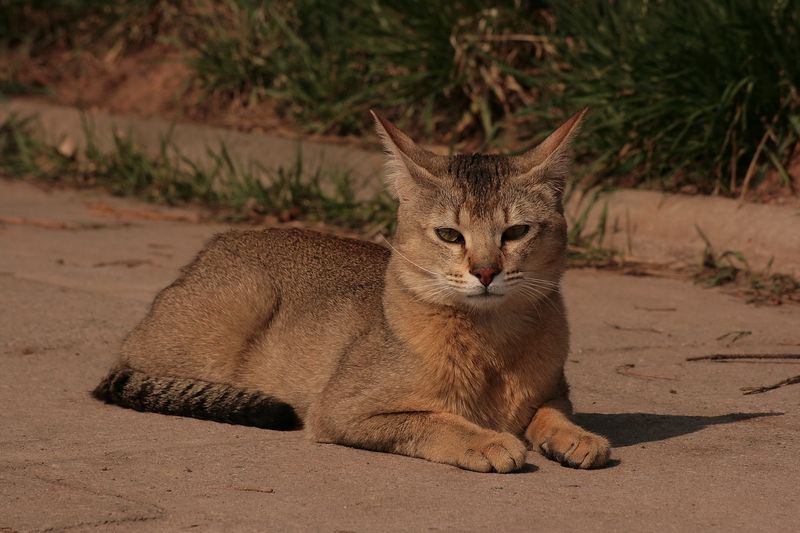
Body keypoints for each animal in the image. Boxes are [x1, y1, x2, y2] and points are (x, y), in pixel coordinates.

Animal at [92, 108, 612, 470]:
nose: (485, 272)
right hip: (237, 308)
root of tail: (215, 244)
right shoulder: (341, 411)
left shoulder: (554, 391)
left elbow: (551, 412)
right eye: (450, 235)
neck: (491, 346)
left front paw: (575, 436)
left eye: (516, 232)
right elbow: (429, 420)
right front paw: (484, 440)